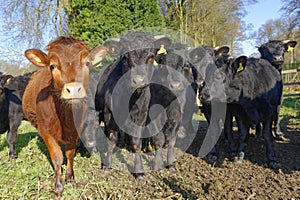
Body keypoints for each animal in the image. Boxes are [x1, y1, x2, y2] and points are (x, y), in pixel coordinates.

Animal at [22, 36, 108, 198]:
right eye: (52, 66)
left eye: (87, 63)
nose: (73, 89)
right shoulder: (46, 131)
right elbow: (57, 158)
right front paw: (58, 187)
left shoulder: (76, 130)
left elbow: (70, 153)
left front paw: (70, 177)